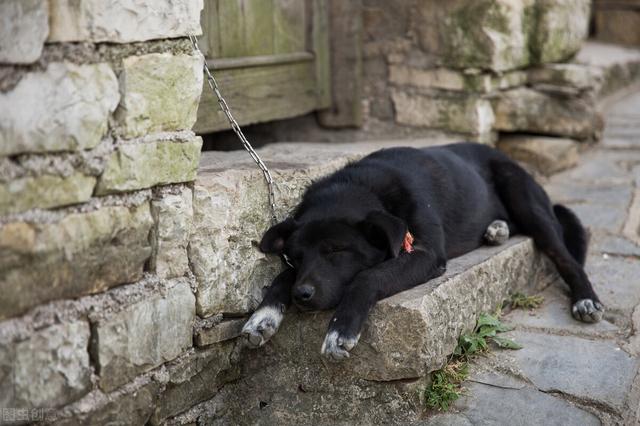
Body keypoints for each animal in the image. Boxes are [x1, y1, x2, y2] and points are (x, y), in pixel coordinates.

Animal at [241, 142, 604, 360]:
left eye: (337, 250)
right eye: (296, 256)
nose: (302, 296)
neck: (363, 186)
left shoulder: (425, 254)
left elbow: (368, 277)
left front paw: (340, 330)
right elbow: (281, 278)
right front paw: (262, 317)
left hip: (525, 199)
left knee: (567, 258)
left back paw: (586, 299)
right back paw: (496, 229)